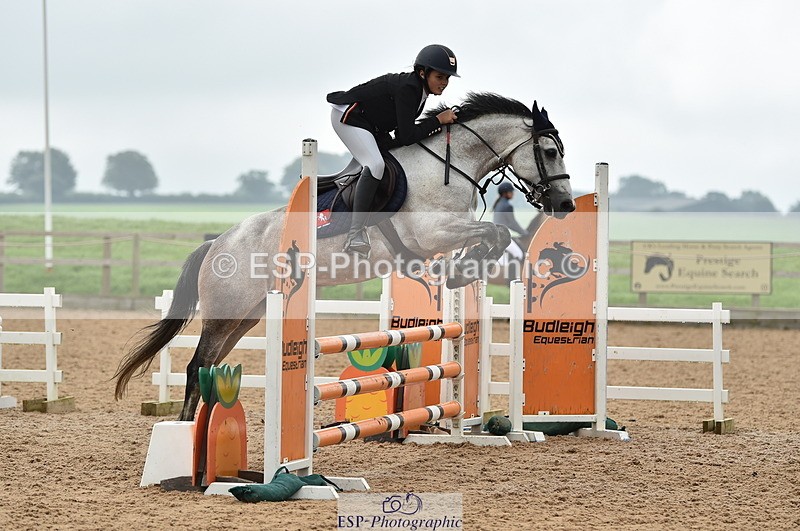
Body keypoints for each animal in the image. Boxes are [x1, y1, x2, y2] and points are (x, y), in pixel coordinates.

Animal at [113, 92, 576, 421]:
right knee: (197, 366)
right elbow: (495, 231)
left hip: (248, 315)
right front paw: (465, 268)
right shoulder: (432, 233)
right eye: (551, 152)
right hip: (226, 313)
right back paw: (184, 436)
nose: (565, 205)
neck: (448, 166)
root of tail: (218, 244)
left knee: (210, 366)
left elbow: (493, 234)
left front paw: (466, 268)